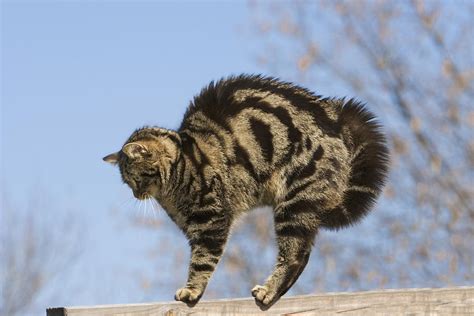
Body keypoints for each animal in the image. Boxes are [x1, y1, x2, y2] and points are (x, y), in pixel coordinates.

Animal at [103, 75, 388, 310]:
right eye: (127, 183)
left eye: (134, 179)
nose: (136, 194)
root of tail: (335, 116)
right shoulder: (194, 227)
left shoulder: (210, 221)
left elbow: (202, 260)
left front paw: (191, 291)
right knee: (304, 254)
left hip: (293, 203)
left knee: (294, 256)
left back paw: (268, 291)